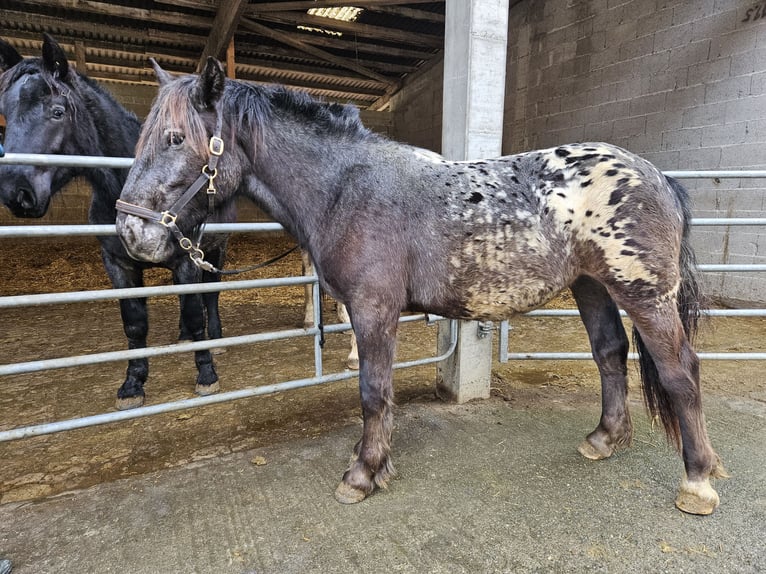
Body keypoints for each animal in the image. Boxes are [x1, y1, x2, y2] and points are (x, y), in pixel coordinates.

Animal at [0, 36, 234, 410]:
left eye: (57, 111)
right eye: (5, 113)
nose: (15, 192)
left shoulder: (187, 258)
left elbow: (195, 312)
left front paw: (206, 373)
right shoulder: (118, 265)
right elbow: (135, 324)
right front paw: (133, 384)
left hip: (215, 250)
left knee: (209, 296)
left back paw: (216, 337)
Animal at [112, 58, 728, 516]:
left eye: (174, 138)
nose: (130, 232)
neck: (346, 188)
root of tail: (658, 176)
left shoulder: (373, 310)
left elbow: (372, 393)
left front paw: (363, 473)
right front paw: (374, 463)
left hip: (644, 295)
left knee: (680, 373)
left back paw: (697, 482)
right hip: (592, 287)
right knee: (610, 355)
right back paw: (604, 439)